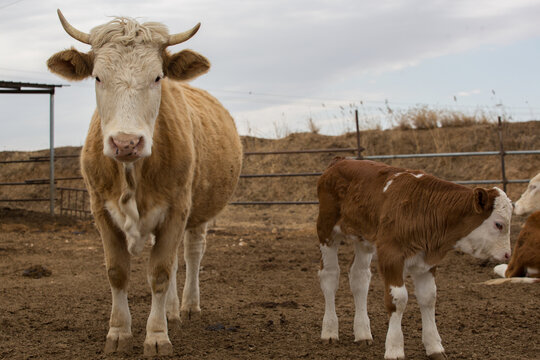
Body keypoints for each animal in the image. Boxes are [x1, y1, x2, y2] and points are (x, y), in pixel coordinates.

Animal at [47, 9, 242, 356]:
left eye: (157, 77)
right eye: (98, 77)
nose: (126, 143)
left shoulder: (177, 209)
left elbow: (160, 272)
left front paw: (156, 336)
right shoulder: (101, 211)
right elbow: (117, 272)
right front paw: (118, 332)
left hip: (198, 213)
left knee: (192, 253)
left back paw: (188, 307)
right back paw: (173, 311)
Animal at [318, 158, 512, 360]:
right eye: (499, 224)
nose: (508, 254)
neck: (423, 207)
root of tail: (341, 161)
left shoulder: (427, 261)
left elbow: (428, 297)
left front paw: (434, 347)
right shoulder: (391, 257)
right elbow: (398, 300)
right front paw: (394, 349)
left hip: (363, 239)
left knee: (359, 277)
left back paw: (363, 334)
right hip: (326, 230)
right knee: (330, 275)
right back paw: (330, 332)